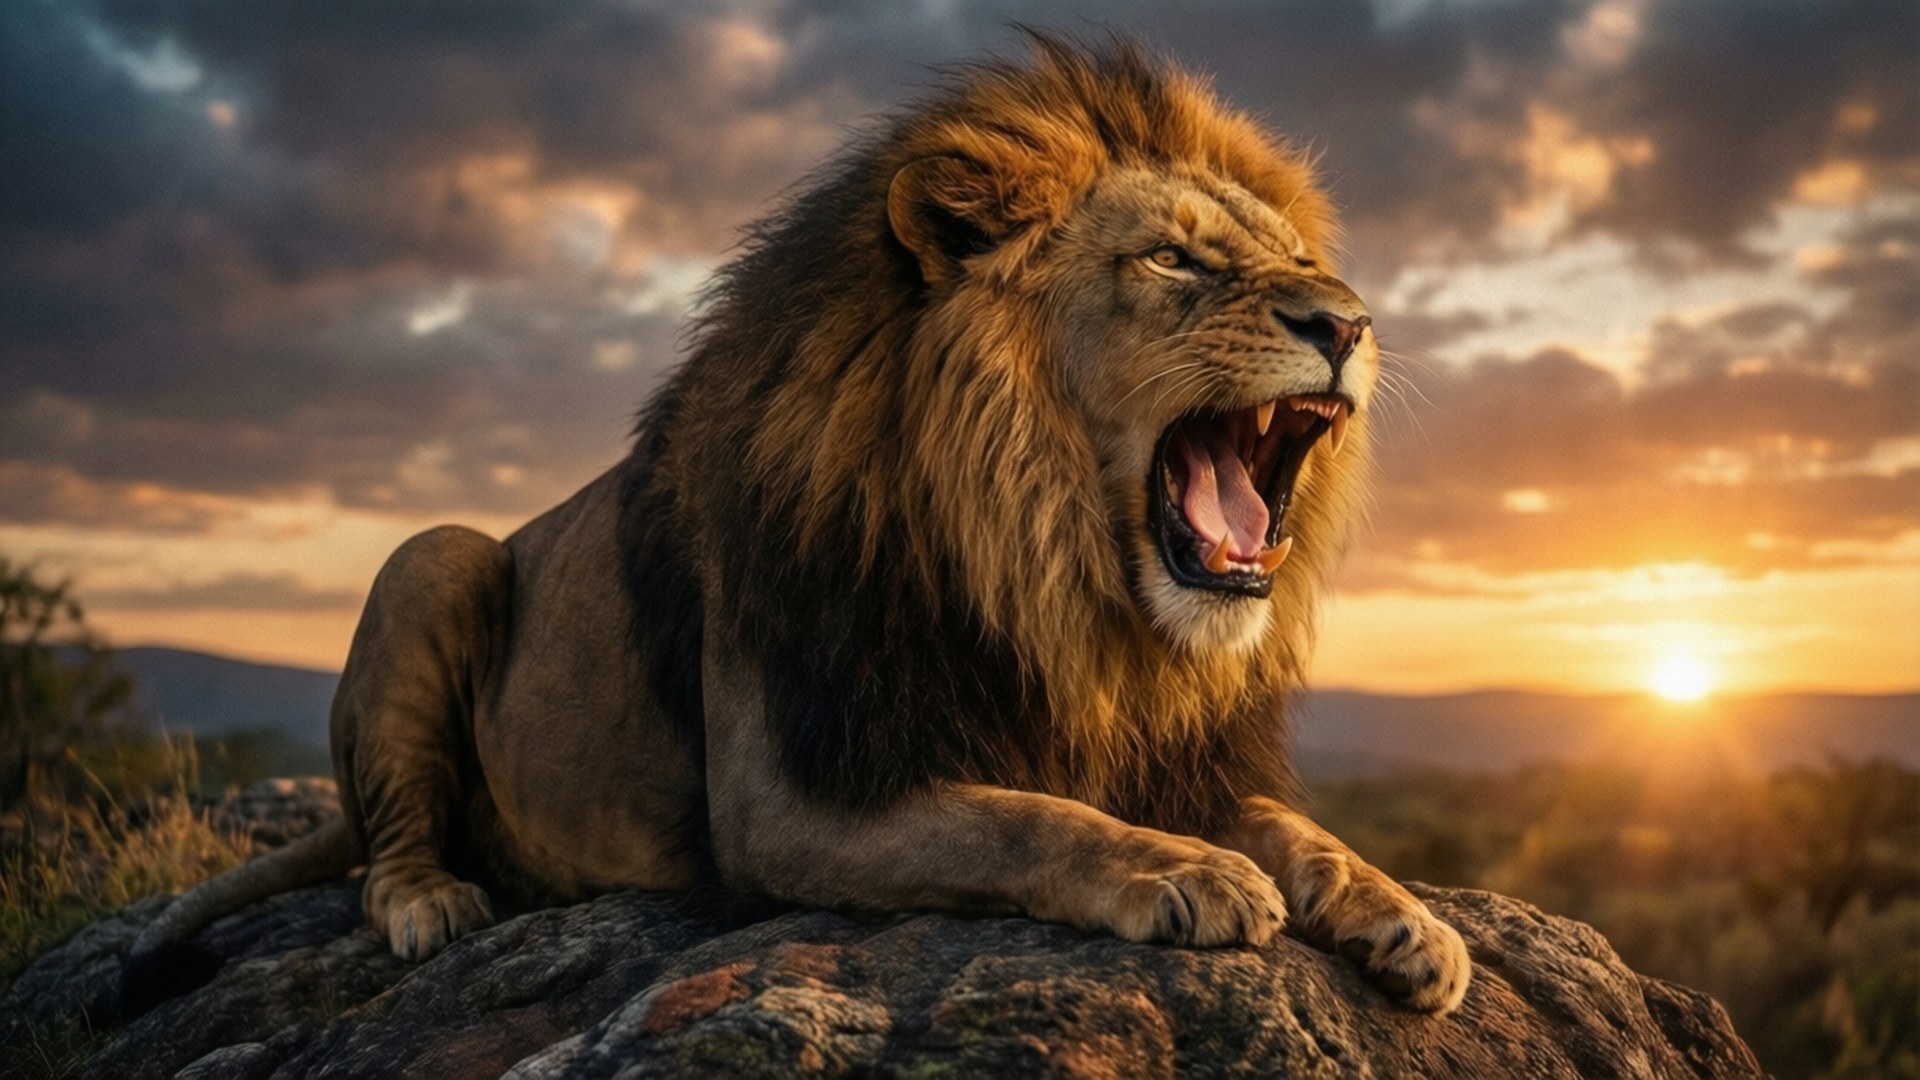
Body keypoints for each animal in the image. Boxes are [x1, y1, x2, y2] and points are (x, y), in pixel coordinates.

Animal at [127, 35, 1471, 1016]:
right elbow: (1023, 819)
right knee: (387, 844)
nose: (1347, 322)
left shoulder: (1163, 749)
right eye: (1175, 261)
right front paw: (1180, 870)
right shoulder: (791, 795)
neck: (1059, 591)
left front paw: (1404, 914)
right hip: (434, 557)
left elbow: (1292, 825)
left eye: (1302, 258)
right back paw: (432, 900)